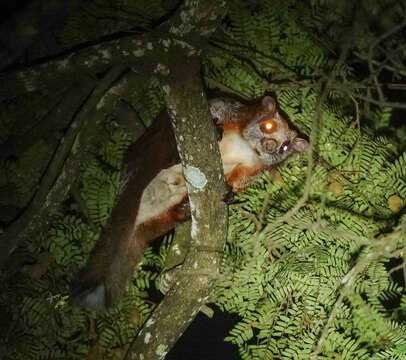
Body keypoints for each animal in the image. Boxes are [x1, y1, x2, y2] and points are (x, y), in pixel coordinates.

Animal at [71, 95, 310, 310]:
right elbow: (212, 108)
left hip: (160, 214)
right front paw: (215, 126)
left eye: (285, 147)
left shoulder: (253, 168)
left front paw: (230, 194)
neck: (247, 148)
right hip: (150, 149)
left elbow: (239, 181)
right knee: (166, 139)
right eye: (269, 125)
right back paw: (176, 156)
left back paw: (183, 210)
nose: (271, 146)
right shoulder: (235, 111)